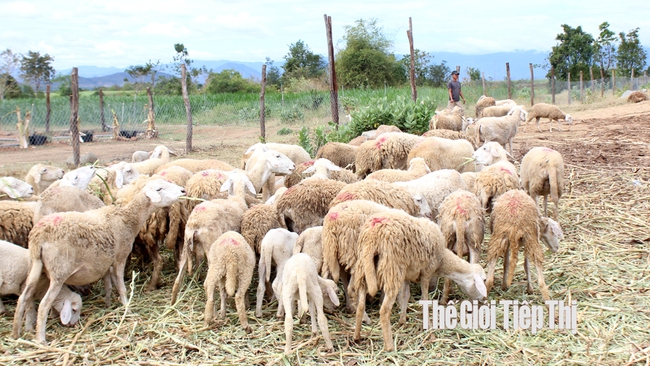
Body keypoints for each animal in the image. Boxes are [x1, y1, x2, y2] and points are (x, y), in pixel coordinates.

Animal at [12, 179, 185, 344]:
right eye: (159, 189)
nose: (183, 190)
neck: (127, 219)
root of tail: (38, 236)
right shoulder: (120, 257)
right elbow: (121, 287)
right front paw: (127, 308)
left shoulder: (106, 263)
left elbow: (109, 285)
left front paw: (108, 305)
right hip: (58, 272)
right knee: (43, 305)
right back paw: (41, 339)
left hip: (35, 266)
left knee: (23, 298)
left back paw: (16, 333)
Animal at [350, 207, 486, 350]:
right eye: (483, 280)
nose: (483, 299)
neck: (442, 260)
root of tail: (372, 236)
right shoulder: (427, 272)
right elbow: (424, 300)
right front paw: (430, 330)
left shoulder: (406, 276)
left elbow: (405, 296)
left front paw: (402, 321)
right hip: (392, 268)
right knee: (384, 310)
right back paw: (389, 346)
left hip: (363, 268)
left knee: (360, 306)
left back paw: (357, 337)